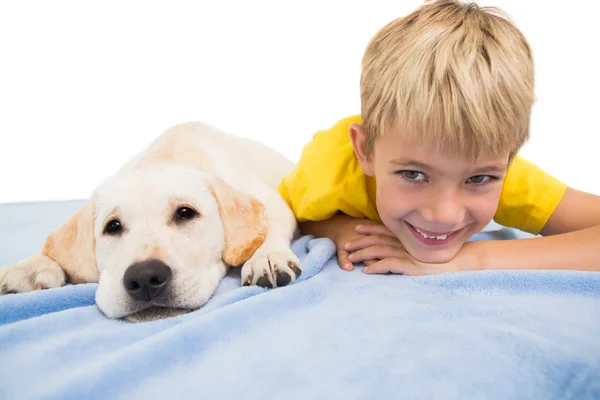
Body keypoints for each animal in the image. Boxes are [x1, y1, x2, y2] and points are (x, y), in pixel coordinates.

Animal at [0, 122, 300, 322]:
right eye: (112, 226)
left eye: (185, 213)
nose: (145, 278)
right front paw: (30, 266)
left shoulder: (273, 200)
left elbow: (271, 223)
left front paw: (267, 256)